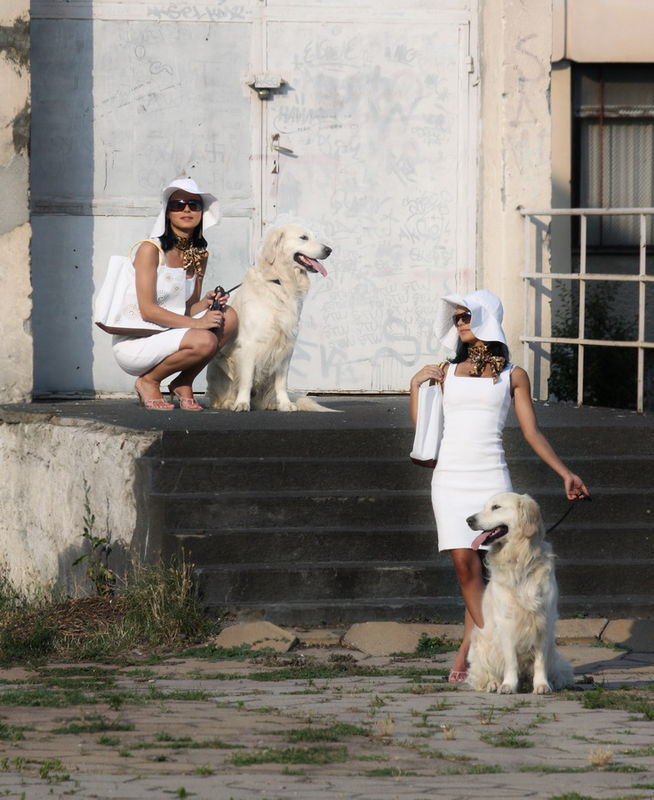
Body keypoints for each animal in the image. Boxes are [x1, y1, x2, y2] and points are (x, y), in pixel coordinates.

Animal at [206, 224, 332, 412]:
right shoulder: (250, 344)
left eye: (314, 237)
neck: (280, 281)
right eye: (303, 238)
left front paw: (285, 404)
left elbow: (282, 382)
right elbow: (246, 379)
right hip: (219, 366)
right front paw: (242, 403)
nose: (329, 250)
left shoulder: (286, 344)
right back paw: (230, 402)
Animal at [465, 492, 574, 694]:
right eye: (485, 506)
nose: (469, 520)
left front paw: (542, 684)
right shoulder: (507, 623)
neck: (519, 558)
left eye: (496, 507)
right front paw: (508, 685)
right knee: (484, 672)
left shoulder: (543, 620)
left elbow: (540, 661)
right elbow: (511, 661)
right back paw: (493, 684)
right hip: (481, 640)